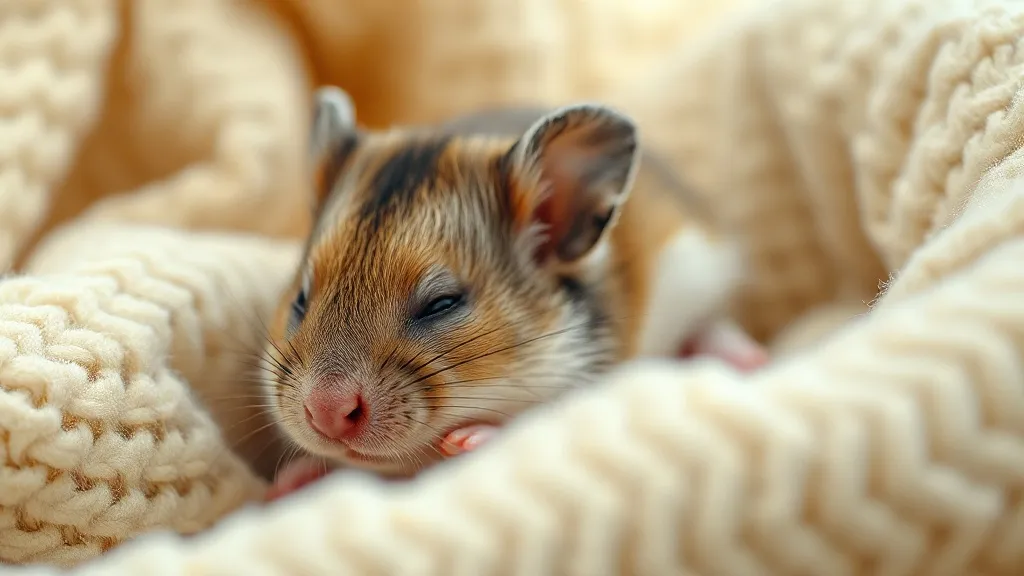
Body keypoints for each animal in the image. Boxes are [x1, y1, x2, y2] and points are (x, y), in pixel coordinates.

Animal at [259, 86, 767, 497]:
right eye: (300, 300)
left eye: (442, 304)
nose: (324, 412)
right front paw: (290, 480)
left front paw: (468, 440)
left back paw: (748, 360)